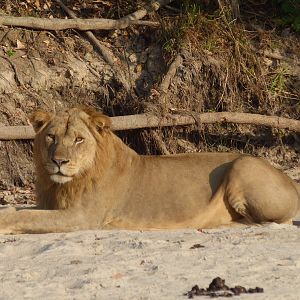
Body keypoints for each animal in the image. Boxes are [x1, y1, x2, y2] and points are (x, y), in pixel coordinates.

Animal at [0, 106, 298, 233]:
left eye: (78, 139)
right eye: (51, 137)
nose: (59, 162)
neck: (60, 184)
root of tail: (290, 180)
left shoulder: (83, 217)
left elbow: (25, 218)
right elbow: (21, 211)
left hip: (244, 164)